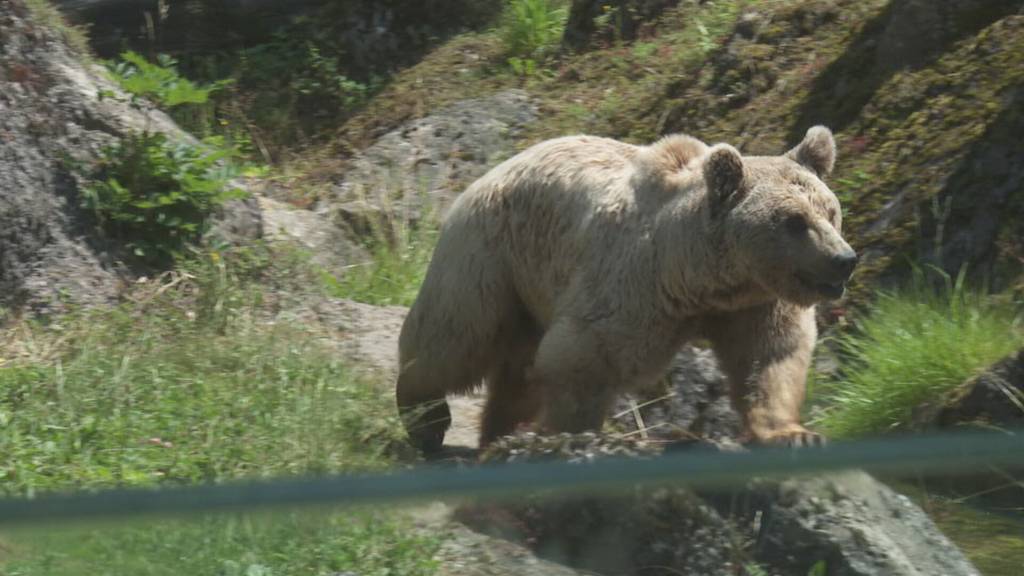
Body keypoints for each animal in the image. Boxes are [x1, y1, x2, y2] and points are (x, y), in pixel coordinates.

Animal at [393, 126, 856, 453]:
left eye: (830, 211)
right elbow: (583, 357)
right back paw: (424, 417)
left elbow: (772, 356)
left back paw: (498, 430)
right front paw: (567, 434)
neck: (700, 279)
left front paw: (794, 433)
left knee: (515, 366)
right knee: (457, 335)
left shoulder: (755, 302)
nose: (844, 260)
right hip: (492, 255)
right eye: (794, 221)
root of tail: (492, 170)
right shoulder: (633, 290)